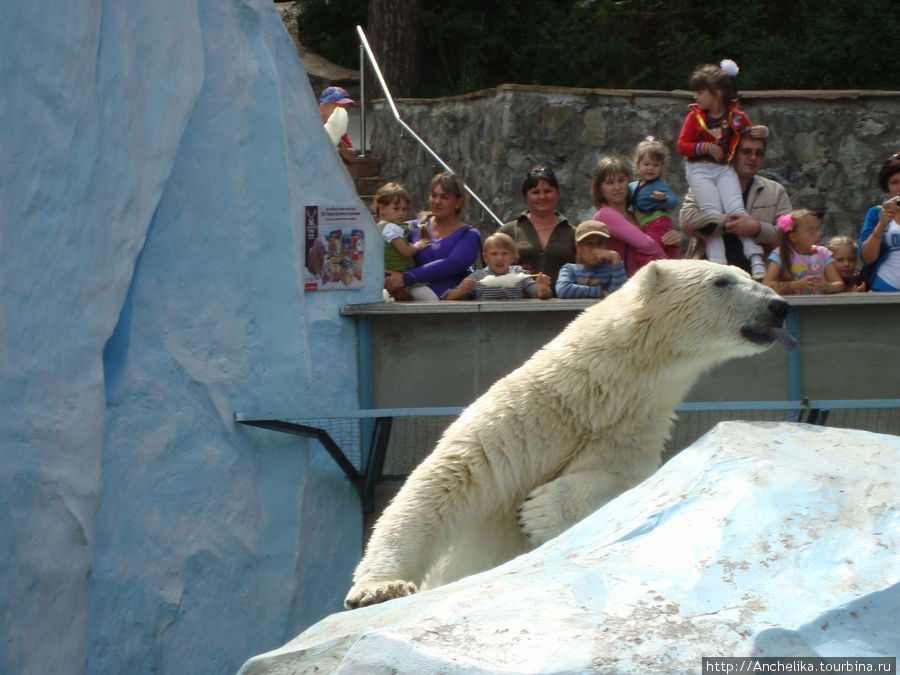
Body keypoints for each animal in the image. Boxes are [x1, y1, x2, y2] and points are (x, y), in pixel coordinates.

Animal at [344, 258, 796, 608]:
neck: (593, 394)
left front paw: (540, 511)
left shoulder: (631, 430)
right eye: (722, 280)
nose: (779, 306)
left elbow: (628, 487)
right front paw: (380, 588)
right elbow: (444, 483)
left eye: (745, 274)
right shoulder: (522, 419)